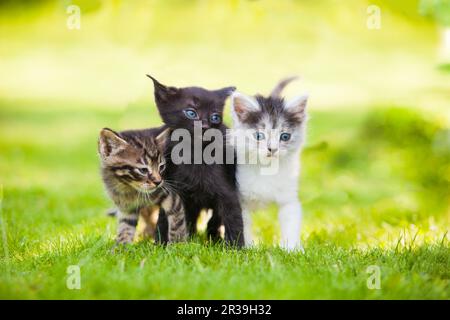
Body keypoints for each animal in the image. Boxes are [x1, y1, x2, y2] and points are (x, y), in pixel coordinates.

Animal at [148, 75, 244, 248]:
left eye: (215, 117)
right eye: (191, 113)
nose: (205, 126)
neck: (194, 155)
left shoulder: (228, 194)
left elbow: (234, 221)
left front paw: (236, 249)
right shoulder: (173, 192)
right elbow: (164, 220)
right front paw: (160, 245)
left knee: (214, 220)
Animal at [230, 77, 308, 250]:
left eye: (285, 136)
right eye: (259, 136)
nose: (272, 149)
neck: (266, 169)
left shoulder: (289, 198)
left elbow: (291, 222)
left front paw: (293, 250)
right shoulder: (240, 199)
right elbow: (243, 224)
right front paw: (247, 248)